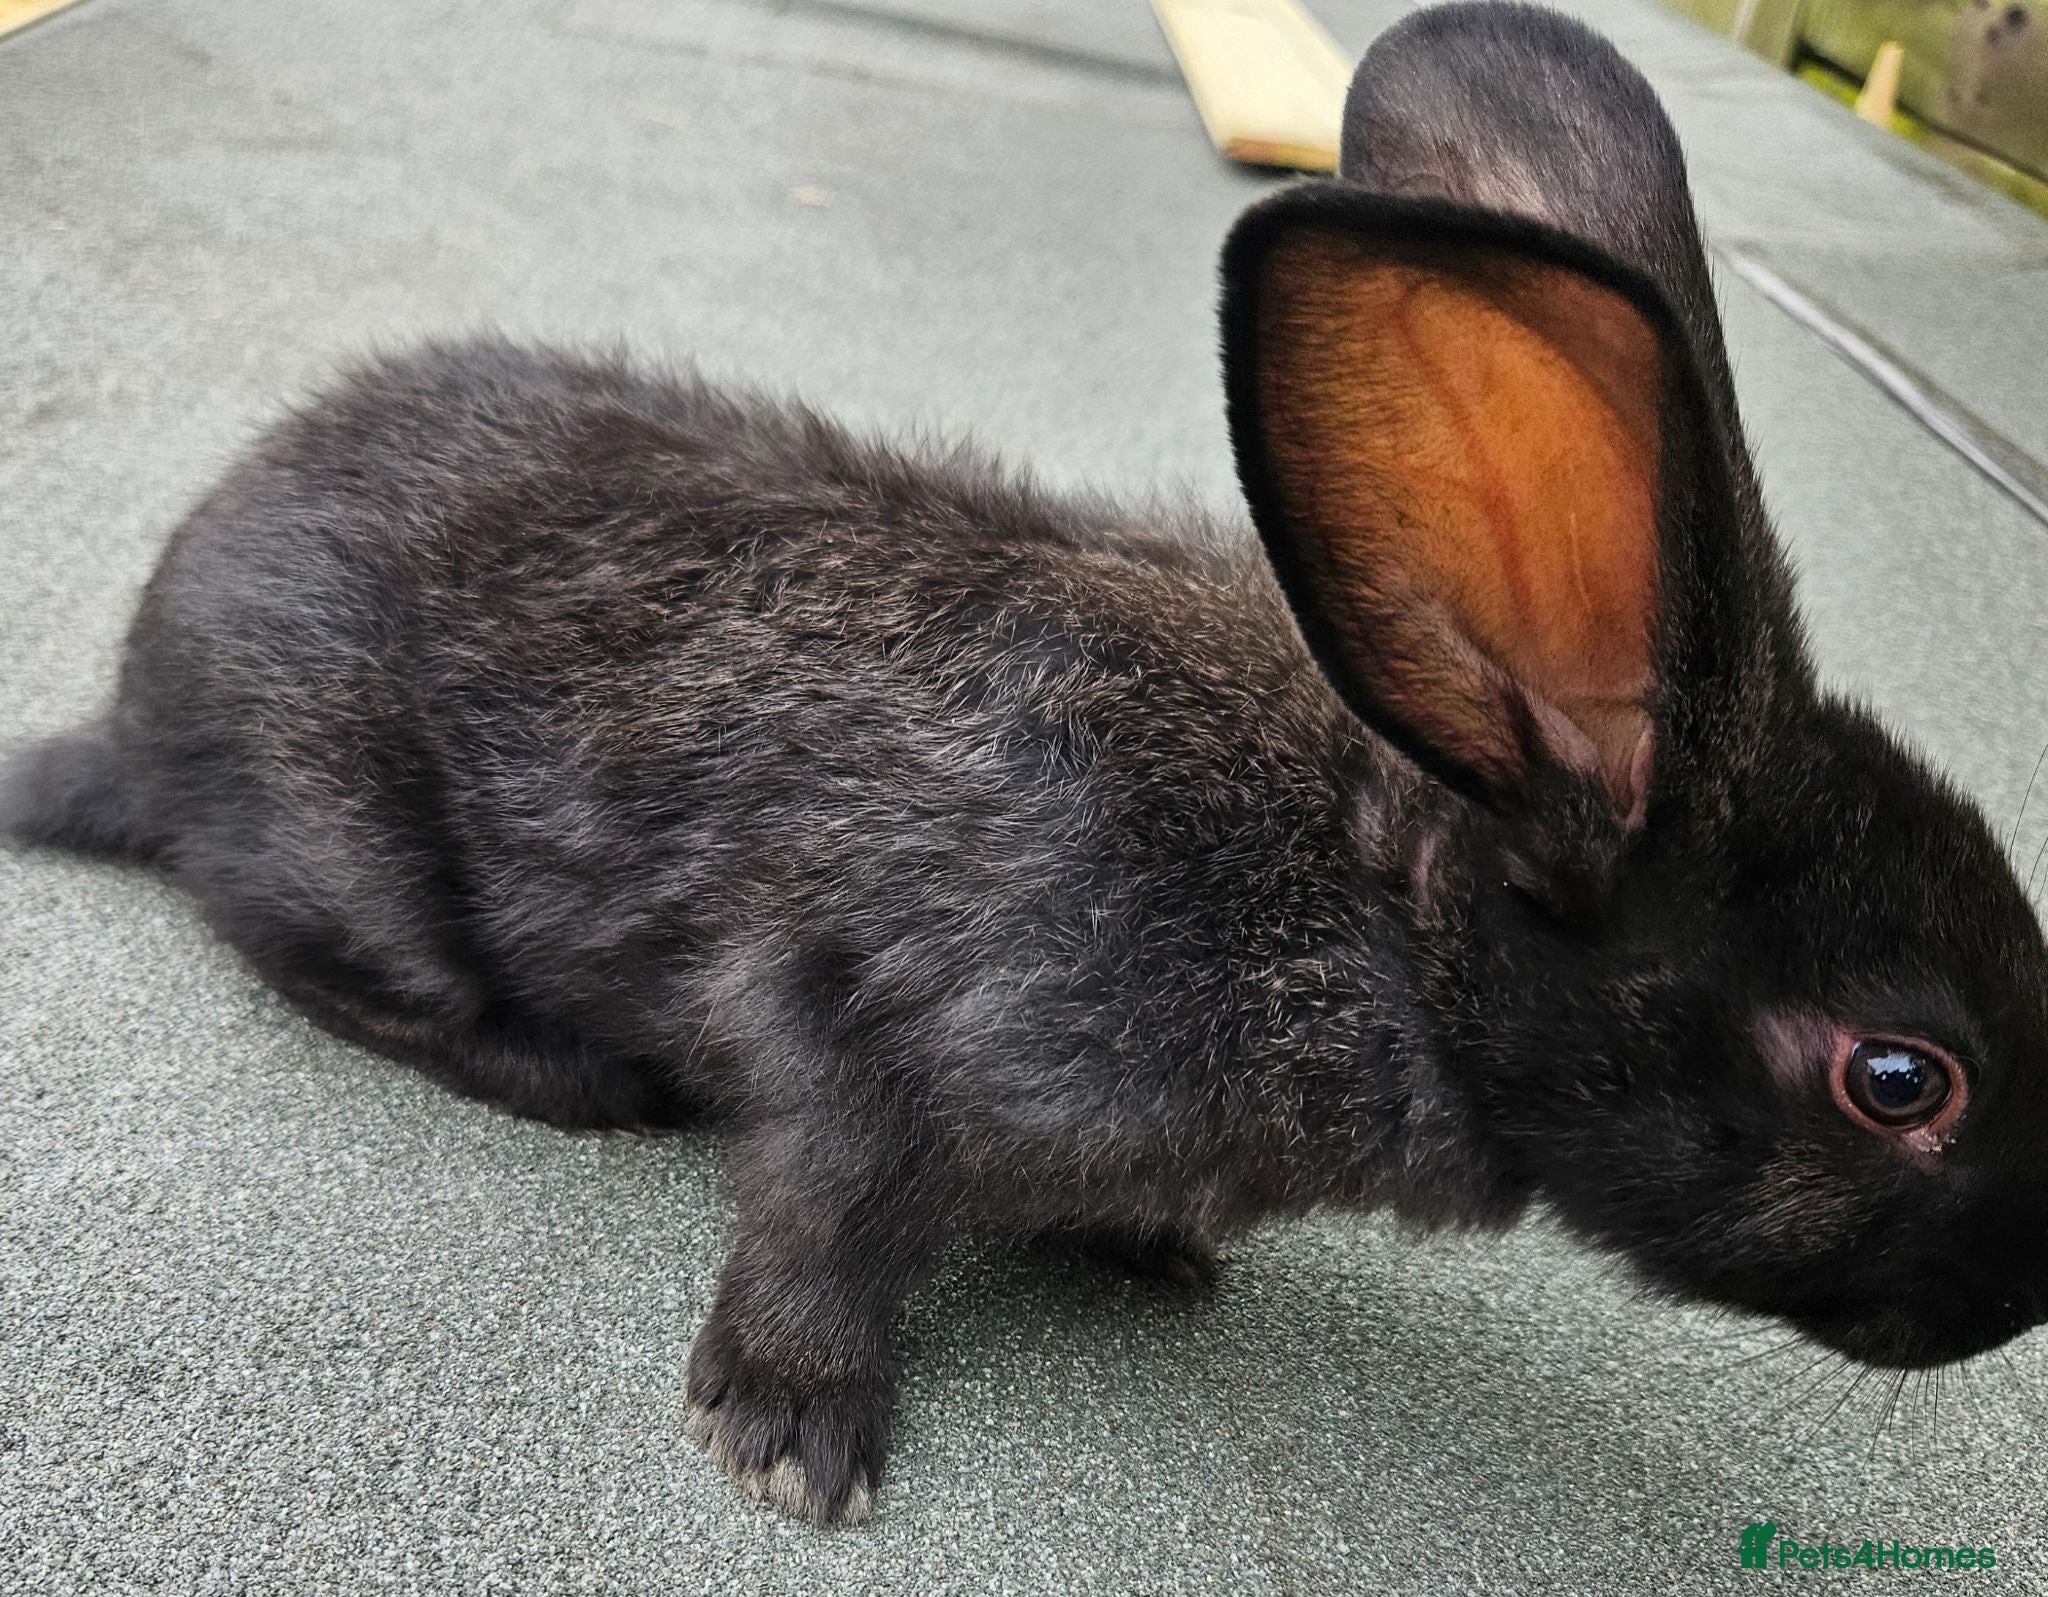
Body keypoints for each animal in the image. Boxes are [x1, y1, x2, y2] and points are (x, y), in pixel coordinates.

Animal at [7, 0, 2048, 1528]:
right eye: (1898, 1078)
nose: (2015, 1306)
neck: (1375, 904)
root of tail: (135, 704)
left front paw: (1148, 1253)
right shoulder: (861, 997)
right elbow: (818, 1198)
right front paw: (789, 1431)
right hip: (344, 835)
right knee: (311, 953)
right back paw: (577, 1078)